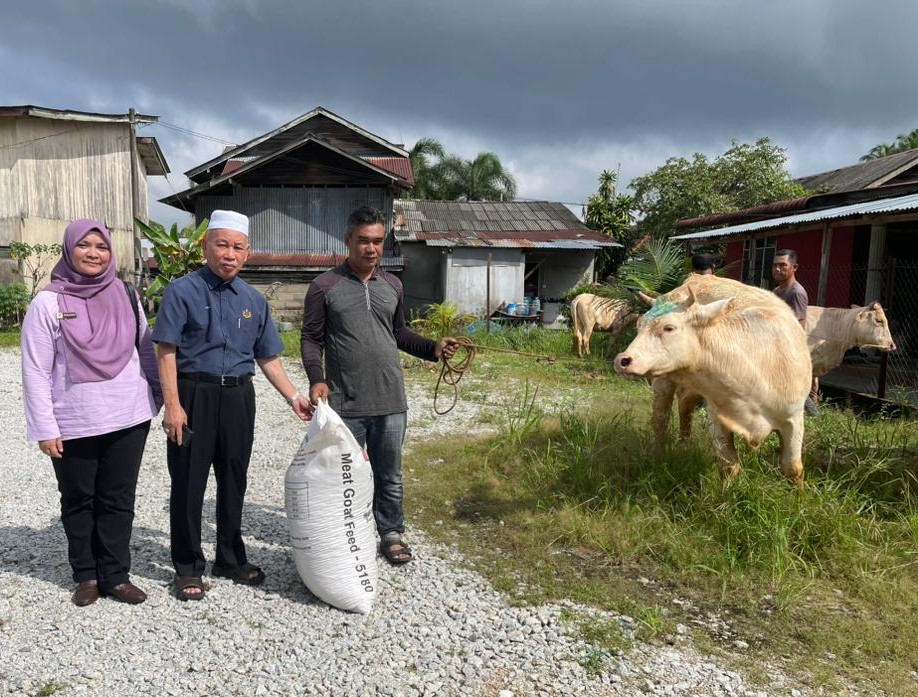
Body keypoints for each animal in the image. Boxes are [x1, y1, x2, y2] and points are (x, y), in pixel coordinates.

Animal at [620, 274, 812, 484]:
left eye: (669, 327)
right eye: (639, 326)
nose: (622, 360)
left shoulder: (794, 418)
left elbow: (793, 468)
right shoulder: (718, 419)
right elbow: (729, 466)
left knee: (685, 406)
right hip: (663, 382)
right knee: (660, 419)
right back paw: (658, 454)